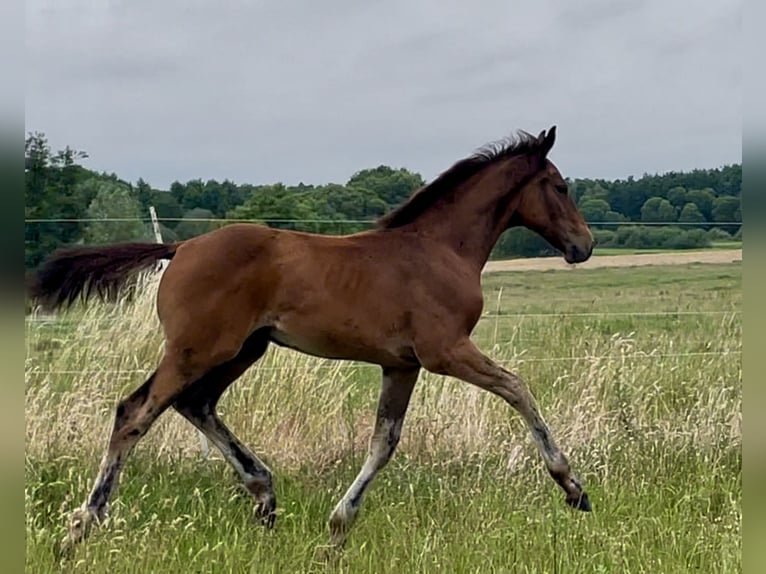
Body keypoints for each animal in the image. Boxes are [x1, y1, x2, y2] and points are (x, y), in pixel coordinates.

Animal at [27, 126, 594, 555]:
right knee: (136, 411)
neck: (439, 250)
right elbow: (517, 388)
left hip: (242, 349)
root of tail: (181, 247)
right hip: (197, 350)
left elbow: (384, 441)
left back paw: (264, 495)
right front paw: (572, 487)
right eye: (560, 186)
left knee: (196, 403)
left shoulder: (402, 364)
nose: (583, 246)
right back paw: (80, 527)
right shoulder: (445, 352)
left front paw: (338, 529)